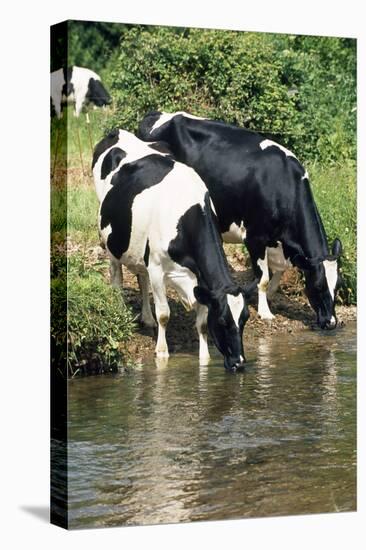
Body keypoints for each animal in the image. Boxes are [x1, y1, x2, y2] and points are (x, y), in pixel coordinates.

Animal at [91, 129, 252, 374]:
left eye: (245, 319)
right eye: (223, 321)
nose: (239, 363)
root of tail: (118, 132)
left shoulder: (201, 281)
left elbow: (202, 323)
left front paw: (204, 359)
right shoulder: (158, 268)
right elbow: (165, 314)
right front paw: (162, 352)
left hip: (141, 250)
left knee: (141, 277)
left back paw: (147, 318)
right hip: (110, 240)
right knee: (116, 276)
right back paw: (121, 310)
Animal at [137, 110, 344, 330]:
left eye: (338, 285)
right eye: (318, 285)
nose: (331, 322)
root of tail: (156, 114)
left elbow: (278, 272)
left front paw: (271, 296)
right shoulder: (255, 237)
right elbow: (263, 278)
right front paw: (265, 312)